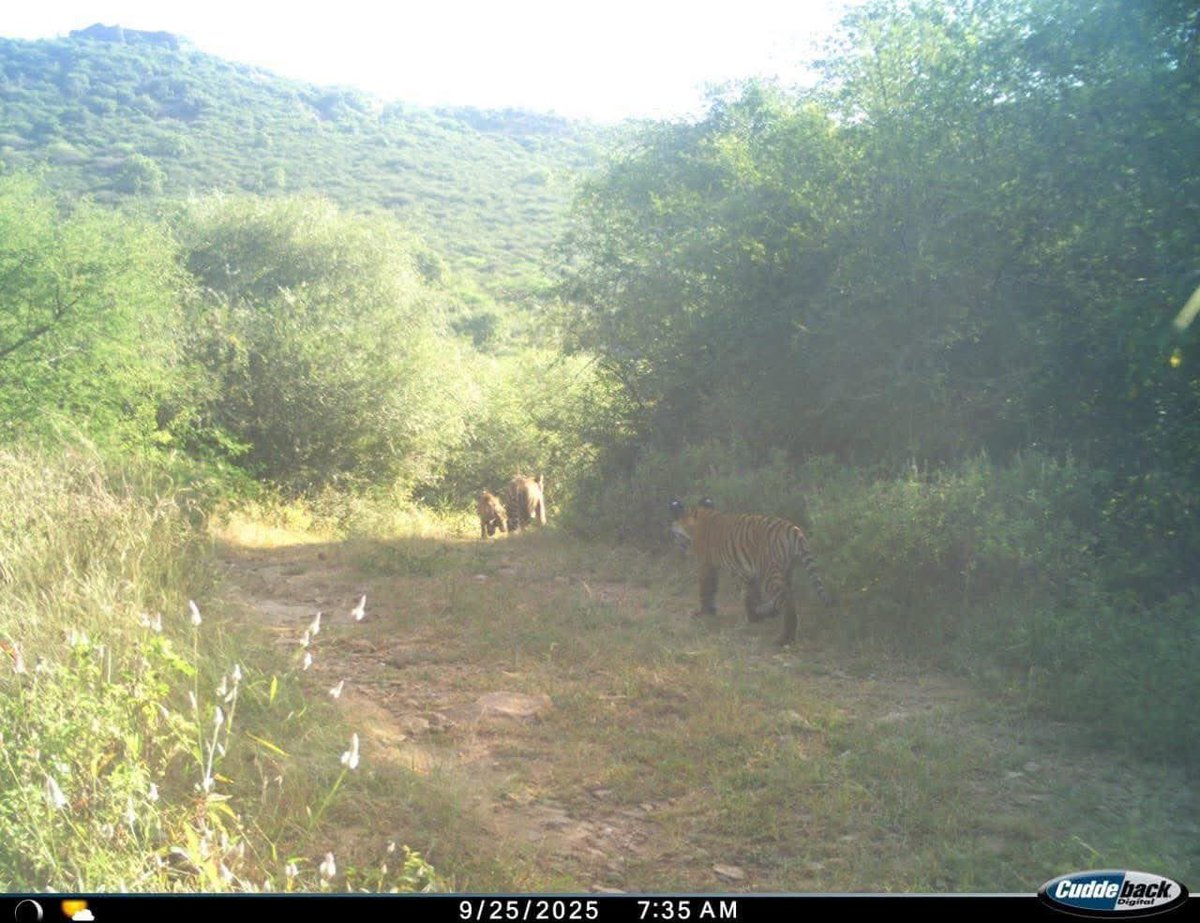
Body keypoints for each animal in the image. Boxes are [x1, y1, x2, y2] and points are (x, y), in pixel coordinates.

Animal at [669, 497, 833, 646]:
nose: (671, 531)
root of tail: (792, 529)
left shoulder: (706, 565)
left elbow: (706, 588)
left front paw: (704, 612)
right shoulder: (748, 572)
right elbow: (749, 593)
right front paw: (753, 616)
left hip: (770, 573)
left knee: (787, 602)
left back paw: (784, 639)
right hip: (786, 570)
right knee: (784, 596)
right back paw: (767, 612)